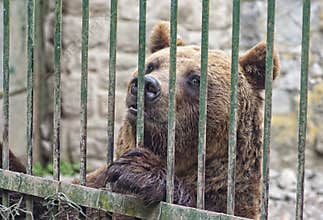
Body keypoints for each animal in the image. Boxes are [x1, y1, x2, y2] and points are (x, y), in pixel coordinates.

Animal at [0, 21, 280, 220]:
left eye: (195, 78)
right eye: (151, 65)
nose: (145, 85)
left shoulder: (226, 201)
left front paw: (138, 170)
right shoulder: (90, 195)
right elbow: (36, 202)